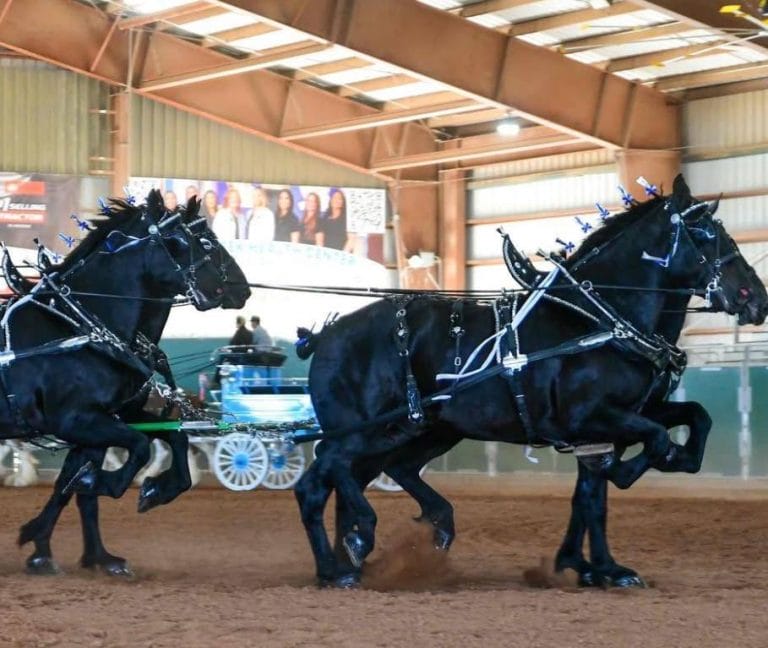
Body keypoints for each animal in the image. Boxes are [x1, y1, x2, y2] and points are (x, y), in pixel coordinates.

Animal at [0, 190, 250, 575]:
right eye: (205, 242)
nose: (243, 289)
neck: (81, 328)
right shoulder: (76, 420)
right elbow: (130, 453)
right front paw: (98, 487)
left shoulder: (112, 416)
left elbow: (171, 440)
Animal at [295, 174, 768, 587]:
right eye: (704, 234)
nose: (755, 299)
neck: (600, 320)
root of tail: (327, 333)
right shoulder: (593, 420)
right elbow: (644, 449)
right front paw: (635, 477)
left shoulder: (621, 419)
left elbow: (684, 427)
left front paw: (593, 566)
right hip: (369, 428)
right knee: (326, 472)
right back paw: (351, 551)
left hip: (425, 429)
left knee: (363, 475)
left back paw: (356, 558)